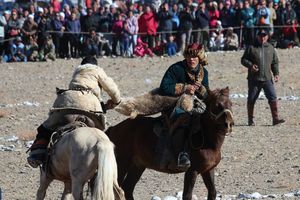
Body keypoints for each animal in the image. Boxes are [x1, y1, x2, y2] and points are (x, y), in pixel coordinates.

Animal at [106, 86, 236, 199]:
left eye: (231, 103)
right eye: (216, 105)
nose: (228, 124)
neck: (207, 140)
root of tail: (114, 128)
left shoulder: (208, 170)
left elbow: (212, 192)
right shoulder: (192, 171)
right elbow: (187, 195)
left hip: (138, 165)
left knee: (127, 188)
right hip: (122, 163)